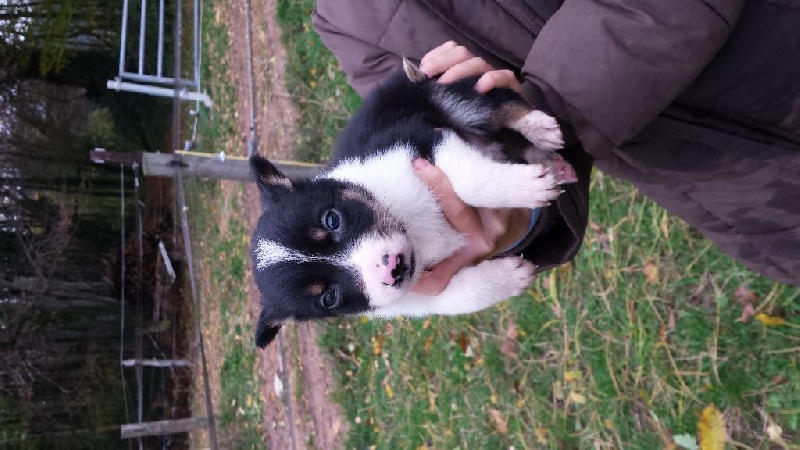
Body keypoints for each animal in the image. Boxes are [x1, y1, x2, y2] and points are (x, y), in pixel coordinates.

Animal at [252, 59, 576, 348]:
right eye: (328, 298)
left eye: (332, 220)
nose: (393, 268)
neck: (411, 229)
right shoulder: (417, 297)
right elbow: (457, 297)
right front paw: (511, 276)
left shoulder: (419, 141)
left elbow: (468, 180)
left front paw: (529, 187)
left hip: (441, 93)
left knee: (496, 104)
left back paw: (539, 128)